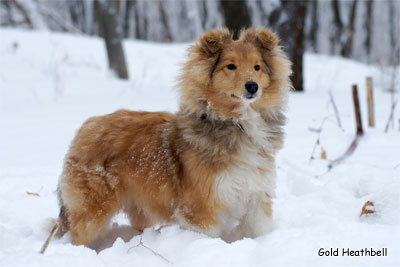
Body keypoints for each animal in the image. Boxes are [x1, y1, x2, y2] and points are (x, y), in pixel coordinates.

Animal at [55, 27, 290, 247]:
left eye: (257, 67)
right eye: (231, 66)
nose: (252, 86)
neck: (236, 123)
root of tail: (87, 127)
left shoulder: (256, 198)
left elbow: (258, 231)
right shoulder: (202, 209)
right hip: (92, 211)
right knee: (78, 236)